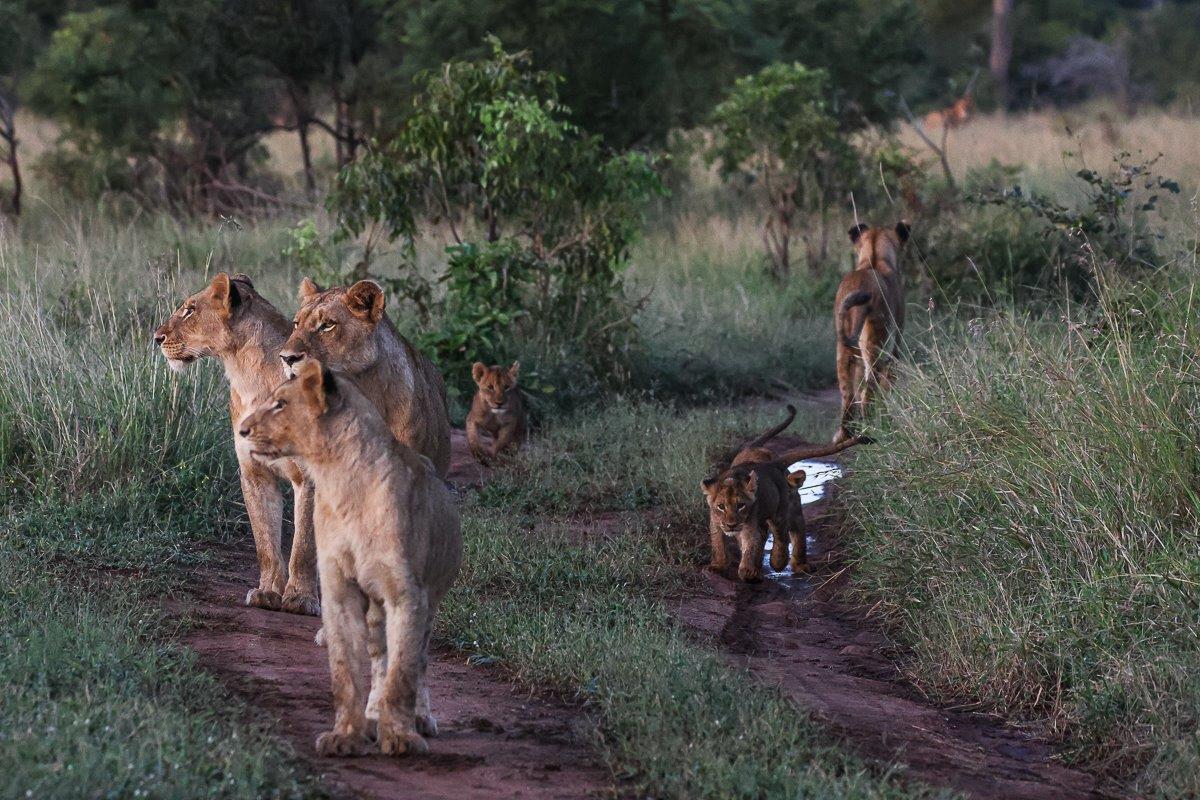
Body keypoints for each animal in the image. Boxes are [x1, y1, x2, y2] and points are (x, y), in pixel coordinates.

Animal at [154, 273, 319, 616]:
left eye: (190, 310)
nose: (156, 337)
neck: (249, 377)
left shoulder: (309, 477)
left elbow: (303, 546)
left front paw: (299, 599)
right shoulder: (254, 472)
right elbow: (265, 540)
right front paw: (267, 593)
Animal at [237, 359, 462, 758]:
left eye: (280, 404)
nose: (242, 430)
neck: (342, 478)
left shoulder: (407, 594)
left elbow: (403, 673)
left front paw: (401, 737)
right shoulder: (338, 588)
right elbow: (346, 672)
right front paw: (345, 735)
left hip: (427, 599)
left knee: (416, 658)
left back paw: (418, 719)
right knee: (378, 655)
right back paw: (373, 718)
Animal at [833, 221, 909, 444]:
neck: (874, 258)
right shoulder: (896, 346)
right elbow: (888, 385)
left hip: (843, 348)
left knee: (849, 397)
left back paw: (844, 435)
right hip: (875, 344)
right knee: (869, 392)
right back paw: (874, 431)